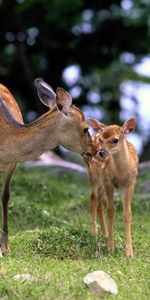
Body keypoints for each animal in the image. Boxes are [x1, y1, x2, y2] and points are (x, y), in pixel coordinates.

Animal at [85, 118, 138, 258]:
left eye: (115, 140)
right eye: (101, 140)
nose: (101, 152)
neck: (121, 173)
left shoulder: (130, 183)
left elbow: (127, 214)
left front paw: (129, 253)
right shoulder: (109, 182)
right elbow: (111, 211)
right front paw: (110, 247)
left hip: (102, 183)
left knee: (99, 203)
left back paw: (105, 233)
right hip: (95, 175)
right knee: (93, 198)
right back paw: (94, 233)